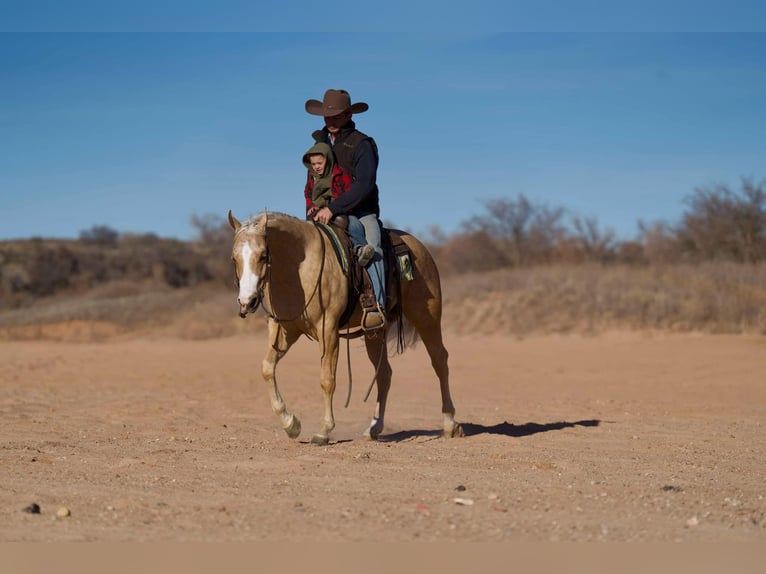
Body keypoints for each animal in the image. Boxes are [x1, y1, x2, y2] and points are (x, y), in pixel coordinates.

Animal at [228, 209, 462, 444]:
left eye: (263, 255)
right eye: (234, 258)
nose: (247, 301)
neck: (301, 269)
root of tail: (419, 247)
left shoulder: (328, 329)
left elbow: (327, 379)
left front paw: (324, 430)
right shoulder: (285, 330)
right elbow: (267, 368)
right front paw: (290, 424)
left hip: (427, 318)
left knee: (440, 361)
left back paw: (450, 423)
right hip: (374, 333)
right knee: (384, 374)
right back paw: (374, 428)